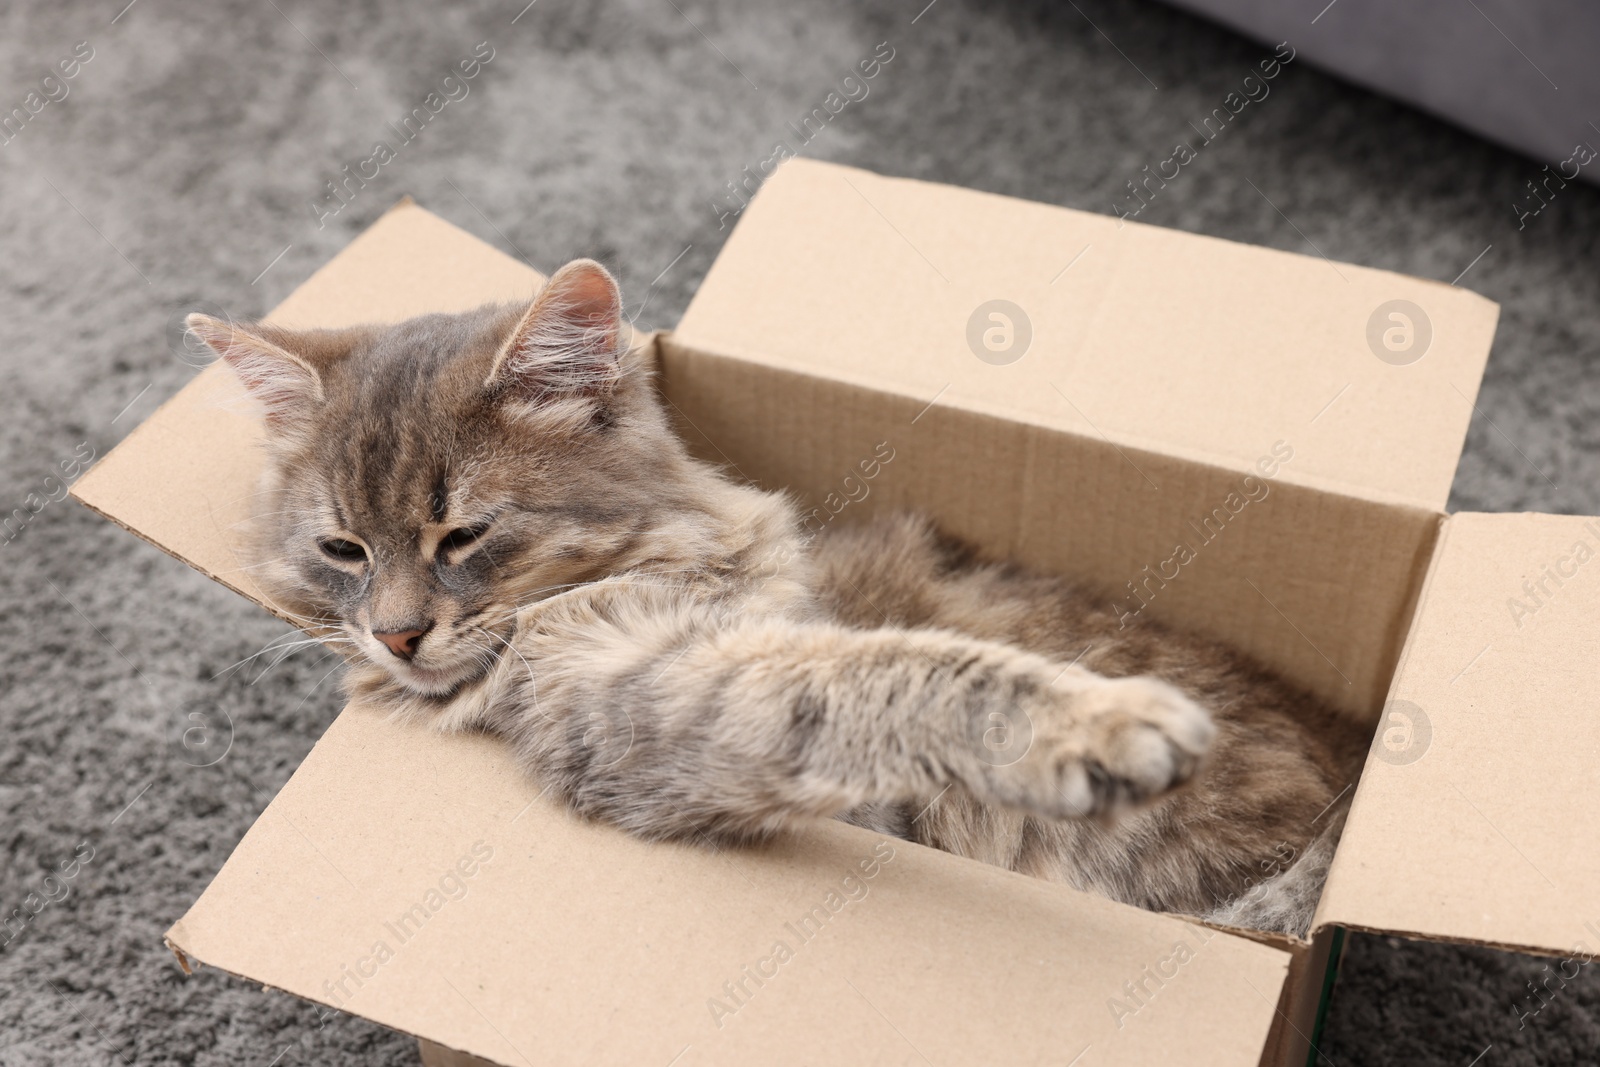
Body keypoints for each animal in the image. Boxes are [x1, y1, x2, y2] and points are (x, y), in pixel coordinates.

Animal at [187, 262, 1363, 940]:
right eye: (342, 548)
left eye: (462, 535)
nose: (394, 636)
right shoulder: (662, 711)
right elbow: (896, 674)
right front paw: (1102, 722)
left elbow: (901, 660)